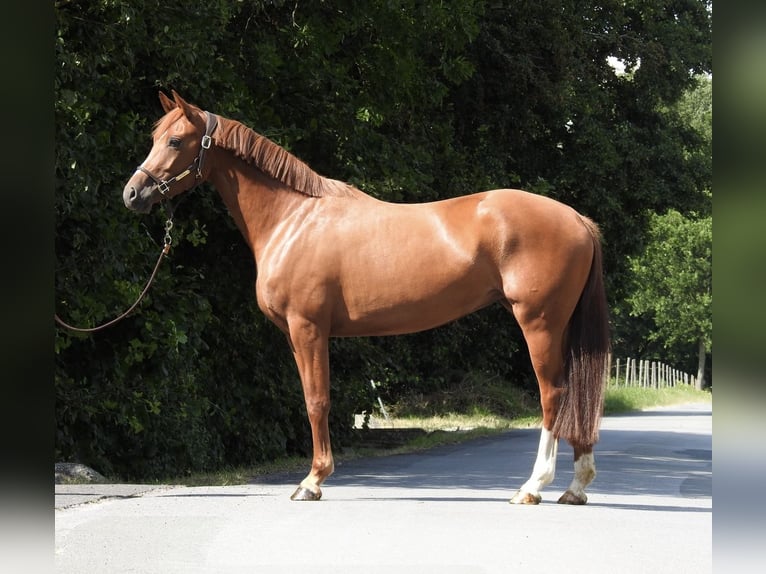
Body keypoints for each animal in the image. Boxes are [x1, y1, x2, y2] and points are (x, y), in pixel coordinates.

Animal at [123, 91, 610, 504]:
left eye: (175, 140)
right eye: (154, 137)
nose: (132, 193)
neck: (293, 218)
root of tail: (577, 219)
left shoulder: (308, 329)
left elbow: (316, 401)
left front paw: (312, 481)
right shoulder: (297, 334)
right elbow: (313, 399)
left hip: (539, 322)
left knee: (553, 394)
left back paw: (533, 486)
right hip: (560, 326)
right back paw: (575, 487)